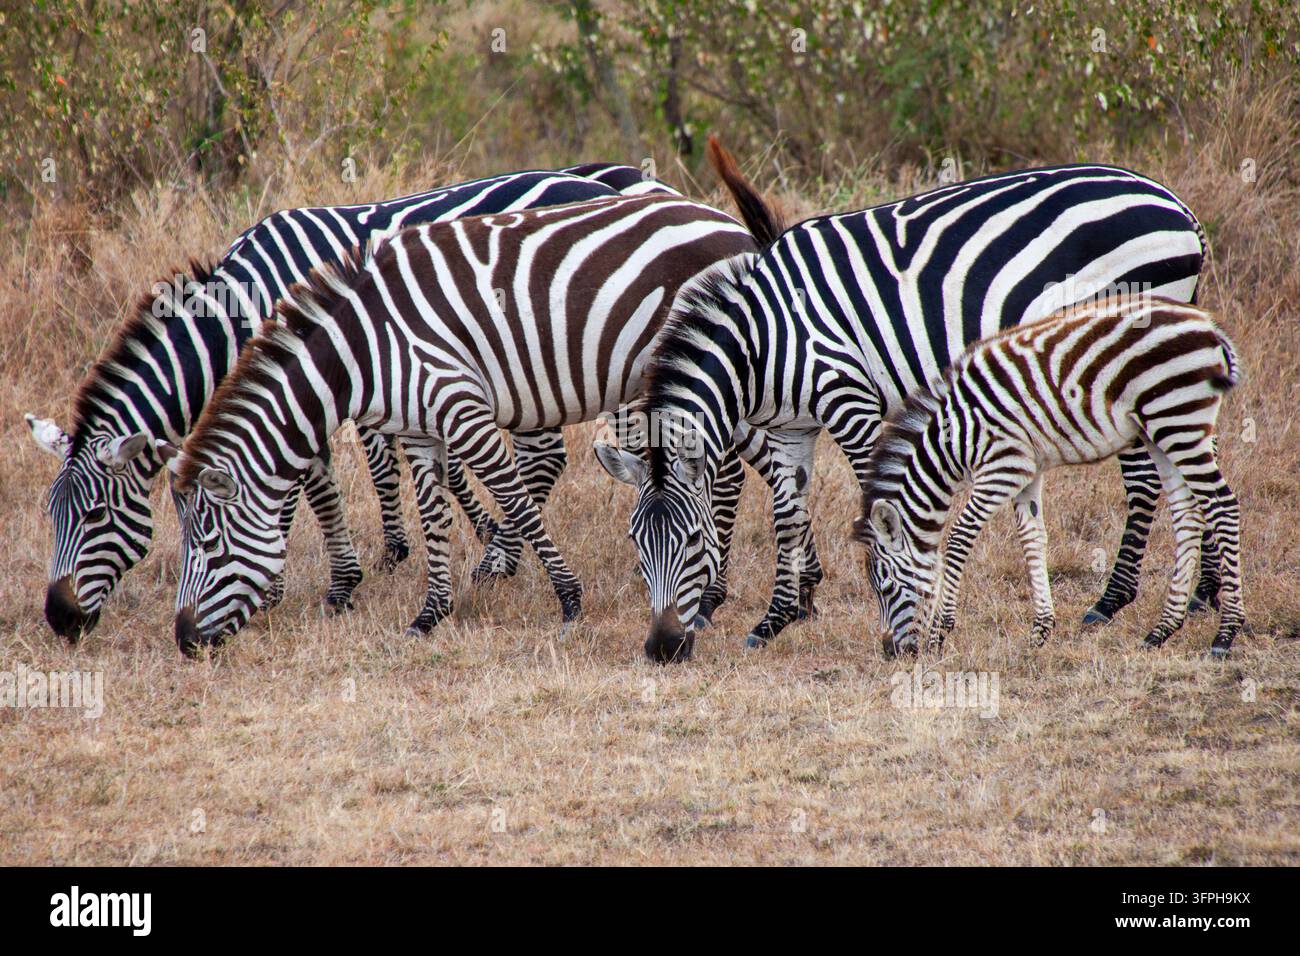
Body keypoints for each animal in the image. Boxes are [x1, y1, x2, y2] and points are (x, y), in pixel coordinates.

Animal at [25, 164, 662, 641]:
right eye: (52, 517)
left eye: (96, 516)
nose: (60, 620)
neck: (241, 306)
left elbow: (312, 485)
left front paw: (320, 585)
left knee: (551, 457)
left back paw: (508, 558)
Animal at [158, 192, 759, 654]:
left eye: (210, 549)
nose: (184, 642)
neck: (364, 349)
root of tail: (730, 224)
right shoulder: (420, 428)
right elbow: (432, 515)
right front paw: (432, 614)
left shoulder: (462, 406)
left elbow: (515, 499)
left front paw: (569, 599)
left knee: (731, 473)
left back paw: (712, 599)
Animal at [853, 296, 1244, 658]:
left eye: (885, 587)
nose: (891, 652)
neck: (956, 436)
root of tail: (1209, 325)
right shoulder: (1026, 471)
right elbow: (1032, 537)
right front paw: (1040, 630)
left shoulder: (1002, 467)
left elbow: (960, 536)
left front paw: (940, 632)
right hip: (1161, 431)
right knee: (1187, 514)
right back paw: (1162, 630)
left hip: (1178, 419)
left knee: (1221, 505)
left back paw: (1226, 634)